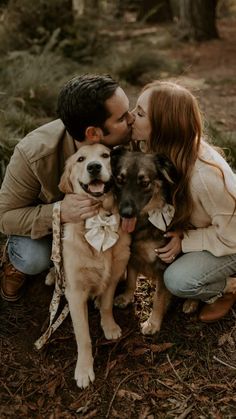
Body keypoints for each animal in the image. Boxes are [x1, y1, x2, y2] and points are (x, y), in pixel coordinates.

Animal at [110, 146, 179, 336]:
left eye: (144, 183)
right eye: (120, 180)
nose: (125, 213)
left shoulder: (163, 263)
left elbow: (158, 298)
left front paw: (153, 323)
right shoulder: (132, 256)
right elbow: (131, 280)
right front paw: (126, 297)